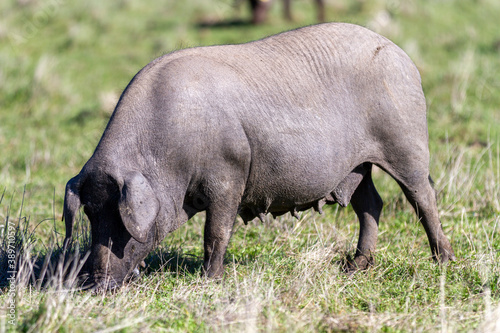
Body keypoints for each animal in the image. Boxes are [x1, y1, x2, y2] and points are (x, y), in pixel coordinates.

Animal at [62, 22, 454, 288]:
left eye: (121, 217)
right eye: (91, 214)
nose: (96, 284)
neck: (167, 155)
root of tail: (401, 55)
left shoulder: (228, 174)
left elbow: (216, 231)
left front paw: (210, 280)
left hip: (406, 142)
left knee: (422, 197)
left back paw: (444, 261)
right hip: (358, 165)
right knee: (371, 204)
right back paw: (355, 266)